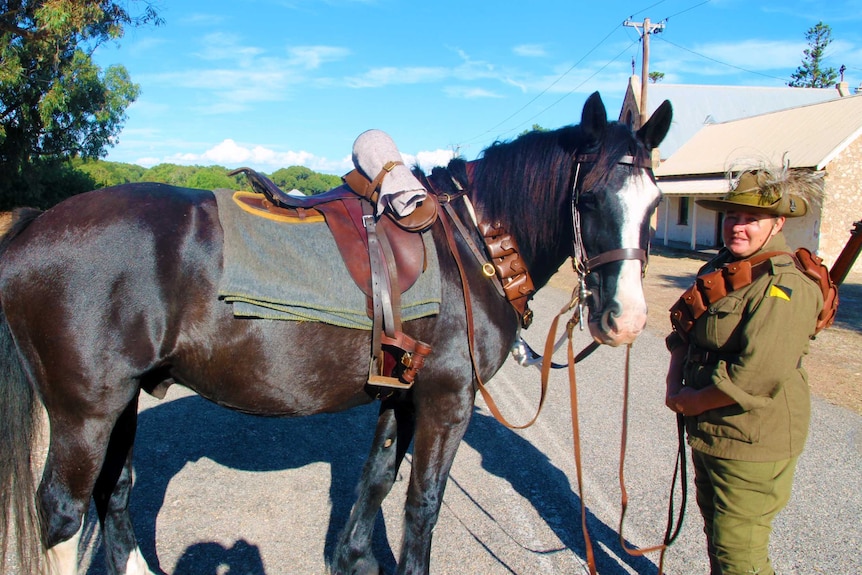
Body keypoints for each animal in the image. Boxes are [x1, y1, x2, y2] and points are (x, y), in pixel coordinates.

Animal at [0, 92, 676, 572]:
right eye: (589, 199)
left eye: (656, 203)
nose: (626, 319)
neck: (471, 242)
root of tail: (31, 227)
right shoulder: (448, 400)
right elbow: (422, 508)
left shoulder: (404, 393)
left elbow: (375, 481)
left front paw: (351, 558)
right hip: (85, 412)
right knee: (62, 515)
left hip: (121, 402)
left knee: (114, 493)